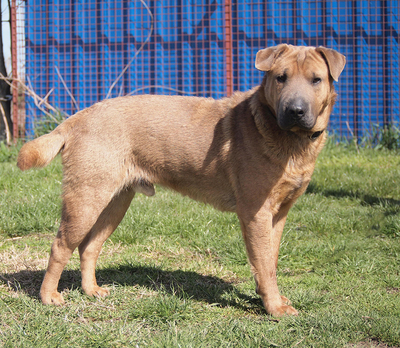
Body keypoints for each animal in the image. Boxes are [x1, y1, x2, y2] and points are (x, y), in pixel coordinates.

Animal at [18, 44, 344, 316]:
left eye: (316, 80)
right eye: (280, 78)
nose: (295, 110)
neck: (287, 140)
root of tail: (76, 119)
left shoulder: (279, 214)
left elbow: (270, 262)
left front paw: (268, 298)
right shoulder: (256, 213)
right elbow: (264, 264)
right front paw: (274, 308)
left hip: (115, 202)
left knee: (89, 247)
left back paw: (92, 290)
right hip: (86, 200)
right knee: (60, 246)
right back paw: (49, 297)